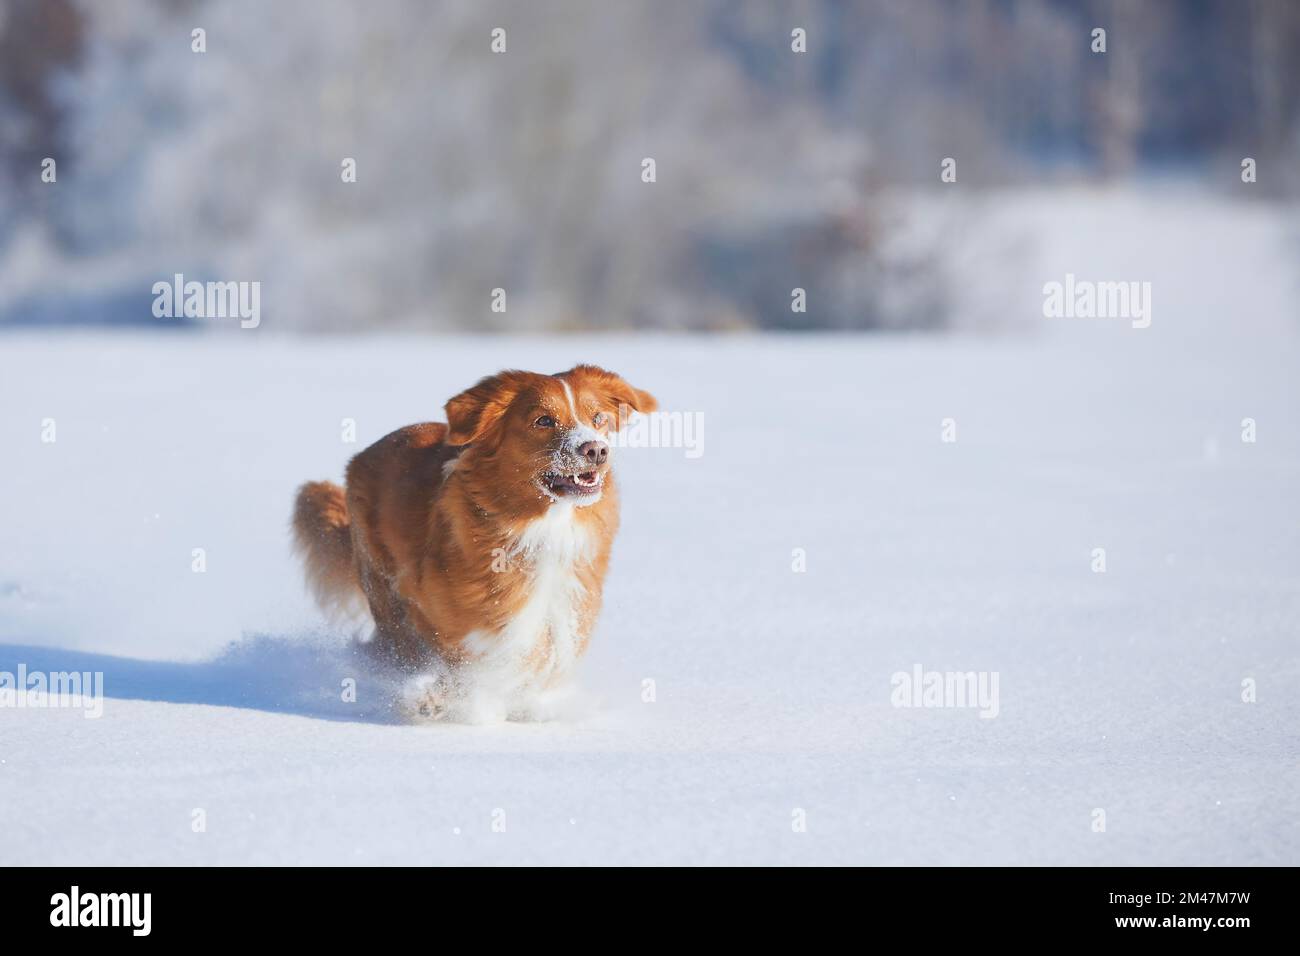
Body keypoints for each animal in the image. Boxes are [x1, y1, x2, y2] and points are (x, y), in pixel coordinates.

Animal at [297, 364, 655, 717]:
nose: (596, 449)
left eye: (598, 418)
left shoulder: (568, 607)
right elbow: (466, 661)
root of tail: (363, 455)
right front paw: (442, 698)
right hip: (383, 586)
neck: (545, 527)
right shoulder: (434, 610)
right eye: (544, 421)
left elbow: (543, 656)